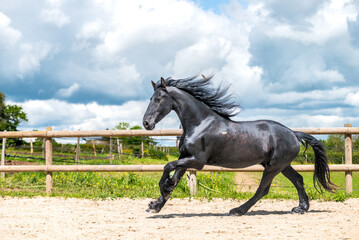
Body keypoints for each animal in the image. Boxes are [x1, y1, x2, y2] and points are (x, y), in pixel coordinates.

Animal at [142, 76, 336, 216]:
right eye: (150, 98)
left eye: (159, 99)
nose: (146, 123)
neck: (200, 124)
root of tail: (294, 134)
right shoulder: (185, 158)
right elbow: (174, 178)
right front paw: (156, 204)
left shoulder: (197, 161)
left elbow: (168, 166)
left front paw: (162, 190)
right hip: (282, 165)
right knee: (298, 180)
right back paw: (301, 208)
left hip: (274, 167)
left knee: (263, 190)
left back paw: (238, 210)